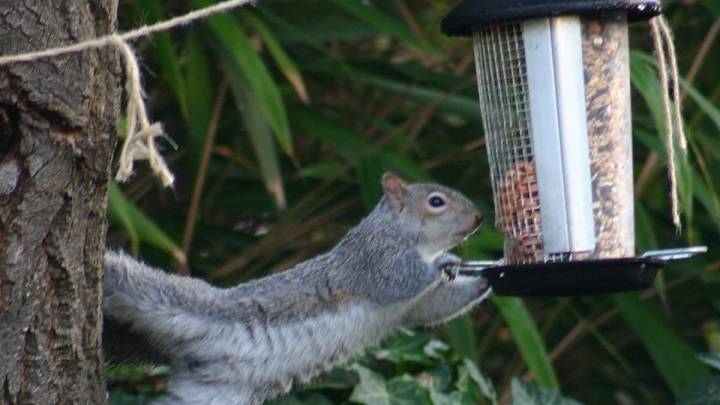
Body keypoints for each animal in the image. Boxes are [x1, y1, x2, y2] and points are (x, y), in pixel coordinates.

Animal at [103, 173, 490, 404]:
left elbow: (432, 307)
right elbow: (398, 282)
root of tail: (185, 357)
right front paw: (444, 263)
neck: (406, 236)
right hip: (158, 296)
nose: (479, 218)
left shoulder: (413, 307)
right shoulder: (372, 261)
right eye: (436, 201)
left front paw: (486, 278)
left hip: (213, 396)